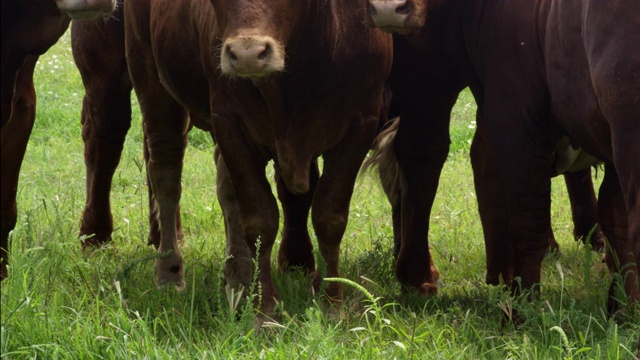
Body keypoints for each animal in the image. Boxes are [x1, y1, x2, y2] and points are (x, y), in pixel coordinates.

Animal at [123, 0, 392, 320]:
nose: (247, 54)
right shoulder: (229, 120)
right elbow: (260, 219)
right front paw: (265, 311)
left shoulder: (361, 123)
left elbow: (329, 216)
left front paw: (331, 303)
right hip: (151, 82)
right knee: (166, 177)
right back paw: (169, 271)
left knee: (225, 189)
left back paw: (237, 276)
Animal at [364, 0, 640, 312]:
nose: (387, 8)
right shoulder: (515, 118)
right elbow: (530, 219)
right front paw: (524, 308)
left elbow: (617, 219)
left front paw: (623, 305)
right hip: (427, 78)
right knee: (424, 155)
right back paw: (421, 275)